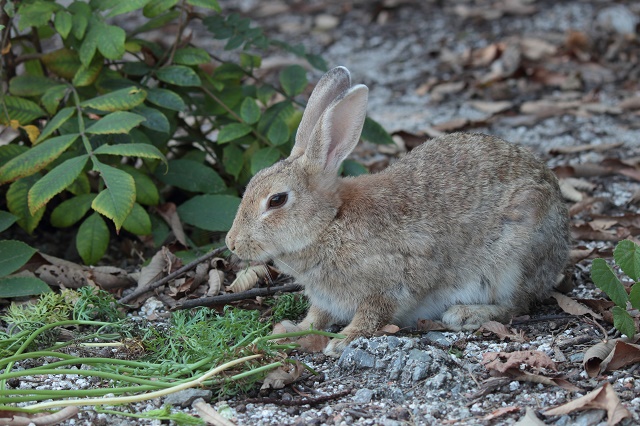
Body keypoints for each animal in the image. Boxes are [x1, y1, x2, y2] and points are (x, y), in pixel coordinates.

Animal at [225, 65, 568, 356]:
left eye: (277, 200)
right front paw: (287, 332)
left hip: (514, 257)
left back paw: (465, 314)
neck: (330, 223)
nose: (232, 243)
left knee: (519, 304)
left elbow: (372, 315)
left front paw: (343, 340)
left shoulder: (390, 284)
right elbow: (316, 318)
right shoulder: (325, 300)